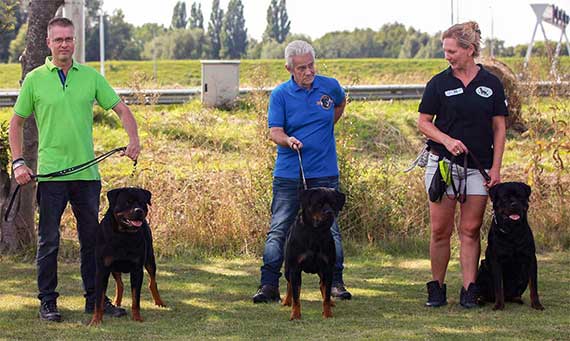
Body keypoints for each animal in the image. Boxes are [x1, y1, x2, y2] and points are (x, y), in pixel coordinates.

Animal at [88, 187, 164, 326]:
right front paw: (96, 320)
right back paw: (117, 302)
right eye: (127, 202)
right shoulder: (102, 270)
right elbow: (98, 300)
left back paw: (159, 302)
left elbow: (136, 298)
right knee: (120, 284)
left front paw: (137, 318)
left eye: (142, 203)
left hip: (150, 260)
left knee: (152, 282)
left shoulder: (137, 270)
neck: (123, 235)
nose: (139, 210)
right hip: (113, 268)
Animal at [280, 186, 344, 318]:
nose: (329, 212)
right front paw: (295, 315)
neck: (315, 233)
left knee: (322, 285)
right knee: (289, 284)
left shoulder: (327, 268)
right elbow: (296, 295)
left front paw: (327, 313)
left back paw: (331, 302)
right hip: (288, 268)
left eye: (333, 204)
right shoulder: (295, 268)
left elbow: (326, 293)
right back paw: (287, 301)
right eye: (318, 204)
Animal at [472, 182, 544, 310]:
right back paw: (481, 300)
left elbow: (534, 286)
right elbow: (499, 285)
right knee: (483, 292)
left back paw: (517, 299)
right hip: (482, 269)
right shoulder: (496, 260)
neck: (512, 232)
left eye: (520, 196)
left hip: (523, 274)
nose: (514, 203)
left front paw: (536, 304)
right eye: (505, 198)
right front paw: (499, 305)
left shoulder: (531, 259)